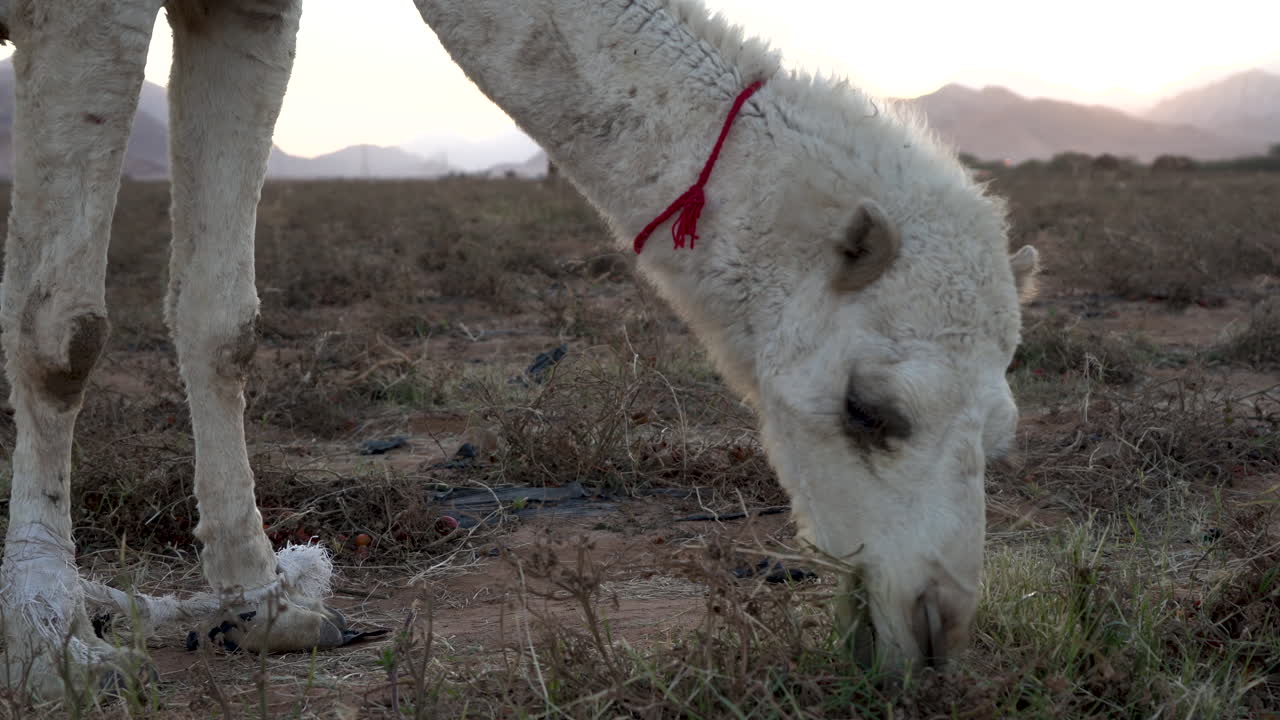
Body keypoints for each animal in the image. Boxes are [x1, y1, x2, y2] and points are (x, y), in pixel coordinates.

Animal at [0, 0, 1038, 698]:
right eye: (870, 410)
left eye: (1001, 435)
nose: (937, 628)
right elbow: (64, 336)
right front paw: (52, 640)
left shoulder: (251, 8)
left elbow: (224, 321)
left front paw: (263, 605)